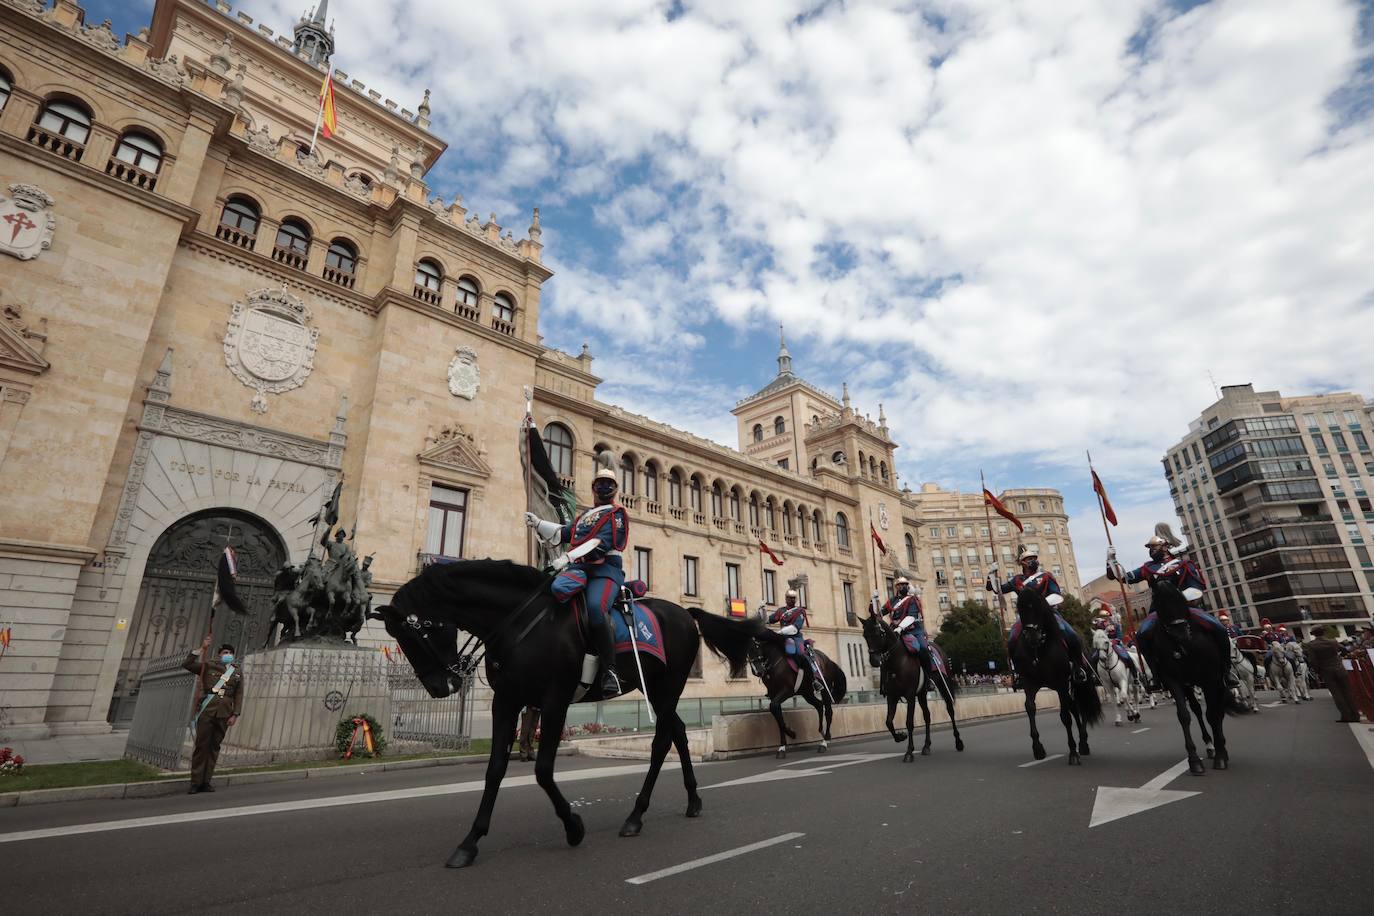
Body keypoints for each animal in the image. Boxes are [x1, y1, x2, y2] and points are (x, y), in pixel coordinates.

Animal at [376, 560, 763, 867]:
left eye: (414, 634)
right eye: (399, 638)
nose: (440, 687)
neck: (522, 623)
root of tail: (684, 612)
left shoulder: (554, 702)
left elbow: (543, 770)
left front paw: (573, 826)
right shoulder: (506, 701)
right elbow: (495, 769)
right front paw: (470, 842)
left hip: (669, 688)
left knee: (660, 743)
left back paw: (636, 816)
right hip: (653, 689)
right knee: (679, 733)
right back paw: (692, 800)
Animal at [857, 612, 967, 763]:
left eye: (879, 633)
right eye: (865, 635)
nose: (874, 660)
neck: (896, 662)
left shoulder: (909, 695)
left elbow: (909, 722)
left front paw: (909, 752)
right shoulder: (892, 696)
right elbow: (888, 721)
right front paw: (900, 736)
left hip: (943, 685)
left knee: (950, 710)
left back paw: (958, 742)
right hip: (921, 694)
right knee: (927, 716)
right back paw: (927, 746)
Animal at [1011, 587, 1104, 769]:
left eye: (1039, 605)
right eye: (1020, 608)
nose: (1032, 636)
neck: (1038, 650)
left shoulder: (1061, 683)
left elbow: (1065, 717)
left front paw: (1073, 753)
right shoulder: (1029, 683)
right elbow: (1030, 708)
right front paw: (1038, 748)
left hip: (1079, 682)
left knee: (1079, 707)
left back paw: (1082, 744)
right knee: (1075, 707)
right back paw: (1082, 741)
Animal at [1132, 579, 1242, 774]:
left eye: (1179, 596)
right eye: (1157, 600)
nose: (1181, 633)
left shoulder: (1210, 678)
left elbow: (1212, 714)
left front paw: (1221, 756)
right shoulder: (1174, 680)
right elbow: (1184, 715)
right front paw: (1194, 760)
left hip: (1217, 681)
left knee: (1217, 711)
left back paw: (1220, 747)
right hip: (1188, 684)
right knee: (1197, 709)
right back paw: (1209, 745)